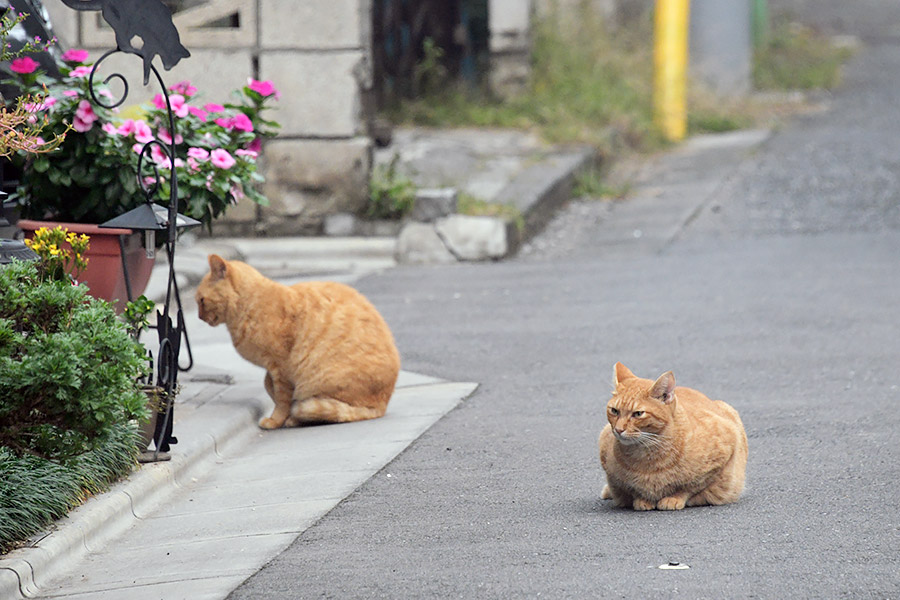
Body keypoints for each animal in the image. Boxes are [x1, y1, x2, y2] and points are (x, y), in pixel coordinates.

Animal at [197, 255, 400, 428]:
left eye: (201, 301)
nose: (199, 317)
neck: (248, 306)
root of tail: (384, 404)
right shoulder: (272, 368)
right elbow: (268, 385)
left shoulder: (281, 367)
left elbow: (281, 399)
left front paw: (275, 420)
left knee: (333, 411)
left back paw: (296, 419)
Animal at [600, 364, 748, 508]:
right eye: (614, 411)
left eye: (638, 414)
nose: (618, 429)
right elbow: (631, 489)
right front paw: (642, 500)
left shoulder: (725, 450)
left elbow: (691, 486)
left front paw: (674, 498)